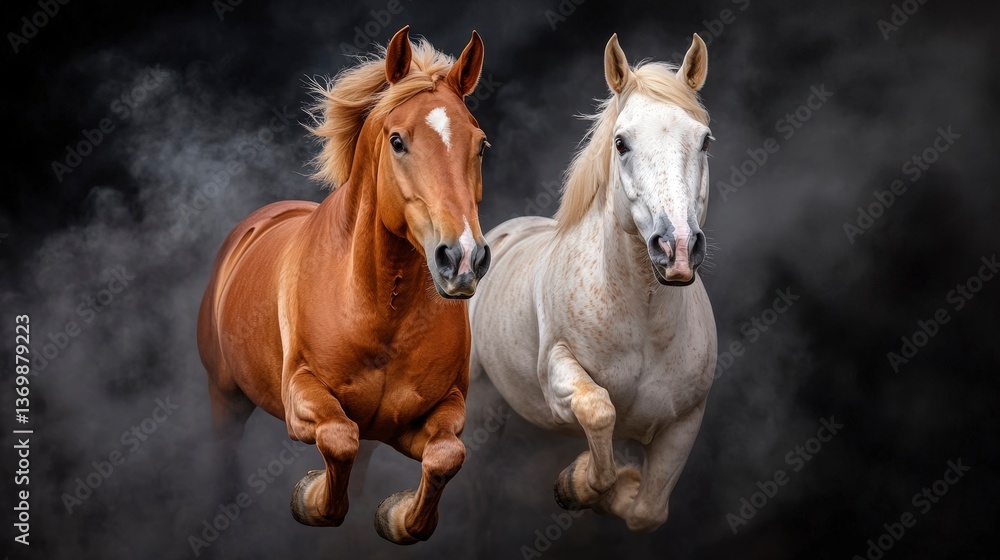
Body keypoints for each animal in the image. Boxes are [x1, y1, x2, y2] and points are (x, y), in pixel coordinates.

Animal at [197, 27, 492, 545]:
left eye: (480, 145)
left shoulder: (431, 412)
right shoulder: (301, 397)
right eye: (397, 141)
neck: (380, 311)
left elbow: (446, 454)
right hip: (225, 397)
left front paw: (398, 516)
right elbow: (338, 439)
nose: (462, 259)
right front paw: (311, 497)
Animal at [469, 33, 717, 533]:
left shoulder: (683, 423)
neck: (642, 320)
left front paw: (605, 485)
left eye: (703, 140)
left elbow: (647, 511)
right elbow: (599, 409)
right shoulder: (558, 379)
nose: (677, 247)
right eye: (621, 143)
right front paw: (578, 483)